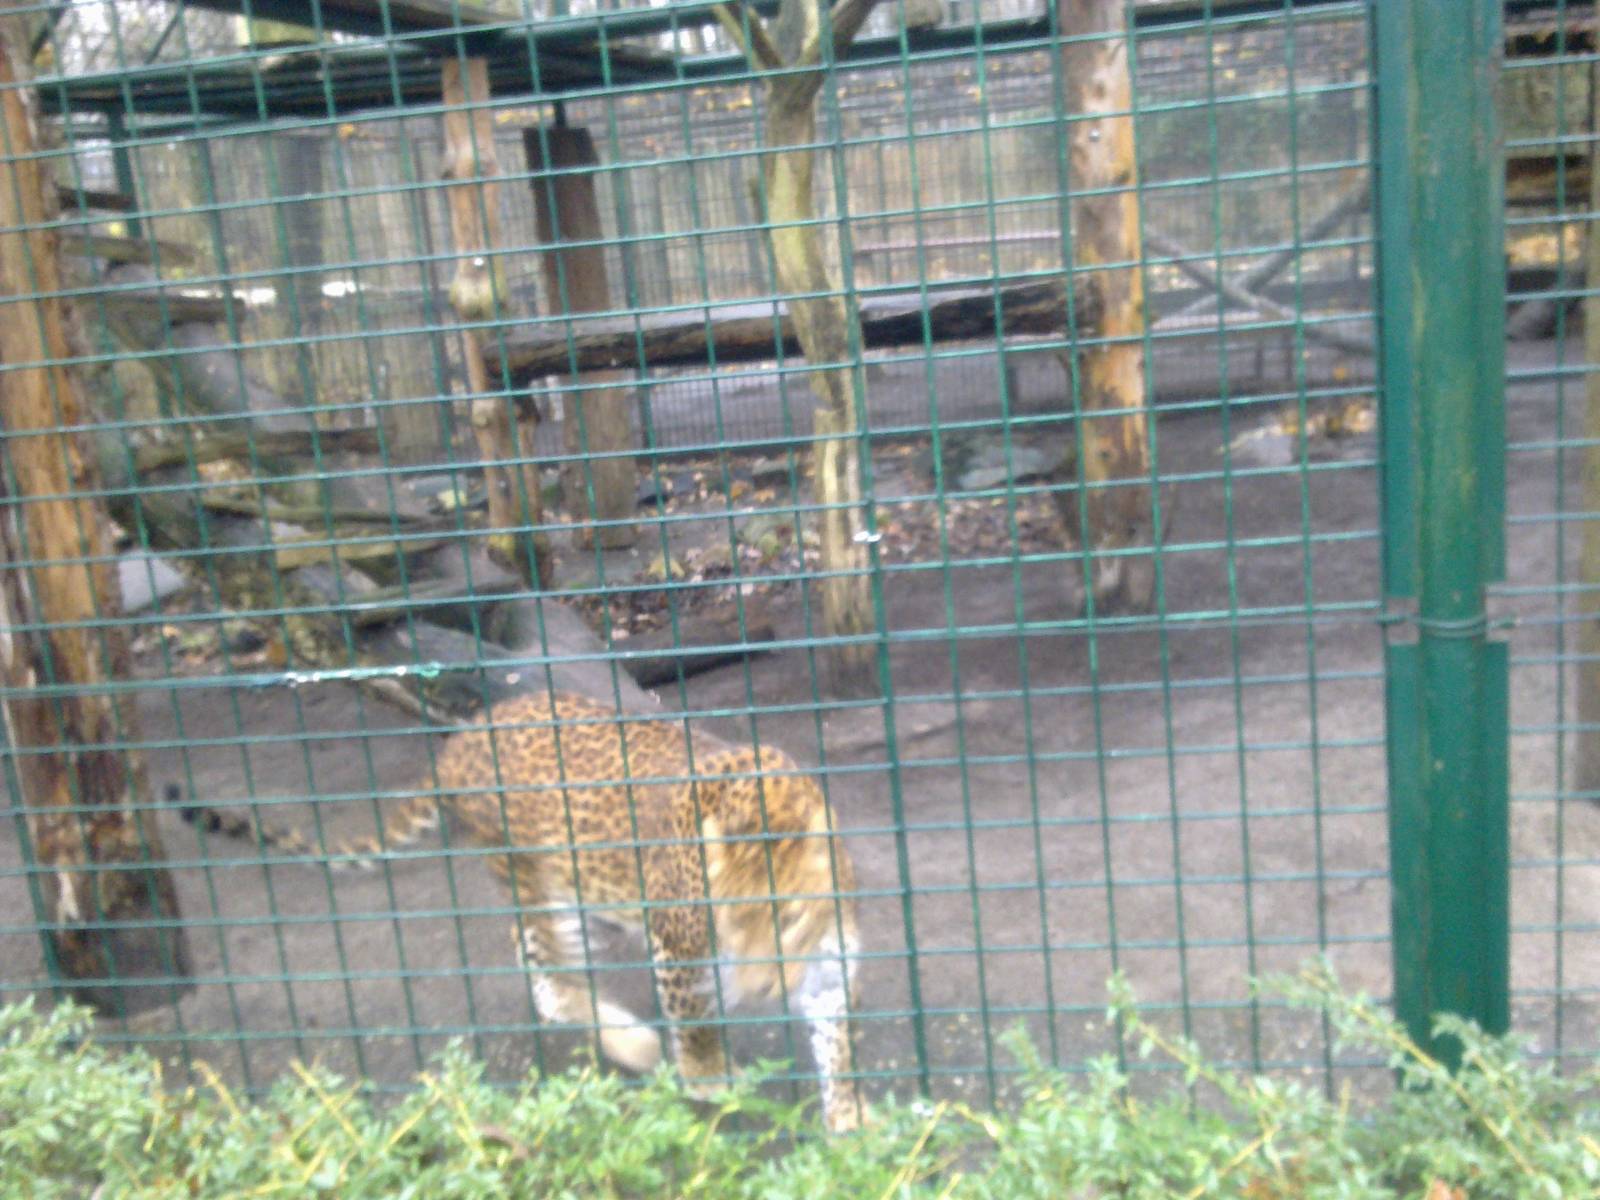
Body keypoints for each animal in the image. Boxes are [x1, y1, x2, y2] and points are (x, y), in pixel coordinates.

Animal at [178, 691, 865, 1132]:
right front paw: (710, 1082)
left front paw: (848, 1115)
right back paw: (635, 1043)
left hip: (593, 894)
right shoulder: (679, 951)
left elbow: (836, 1040)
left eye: (788, 920)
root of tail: (461, 739)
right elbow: (694, 1025)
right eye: (724, 926)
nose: (758, 990)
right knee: (542, 970)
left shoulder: (829, 964)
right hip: (540, 884)